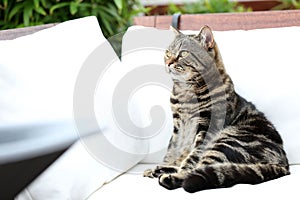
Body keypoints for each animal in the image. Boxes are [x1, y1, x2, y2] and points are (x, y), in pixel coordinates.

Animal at [144, 26, 290, 192]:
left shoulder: (207, 127)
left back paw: (171, 176)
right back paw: (160, 170)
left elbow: (192, 157)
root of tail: (285, 165)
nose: (168, 62)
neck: (185, 93)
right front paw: (166, 164)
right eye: (168, 52)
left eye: (183, 53)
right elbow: (173, 150)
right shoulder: (179, 126)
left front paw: (176, 169)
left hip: (226, 141)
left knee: (200, 168)